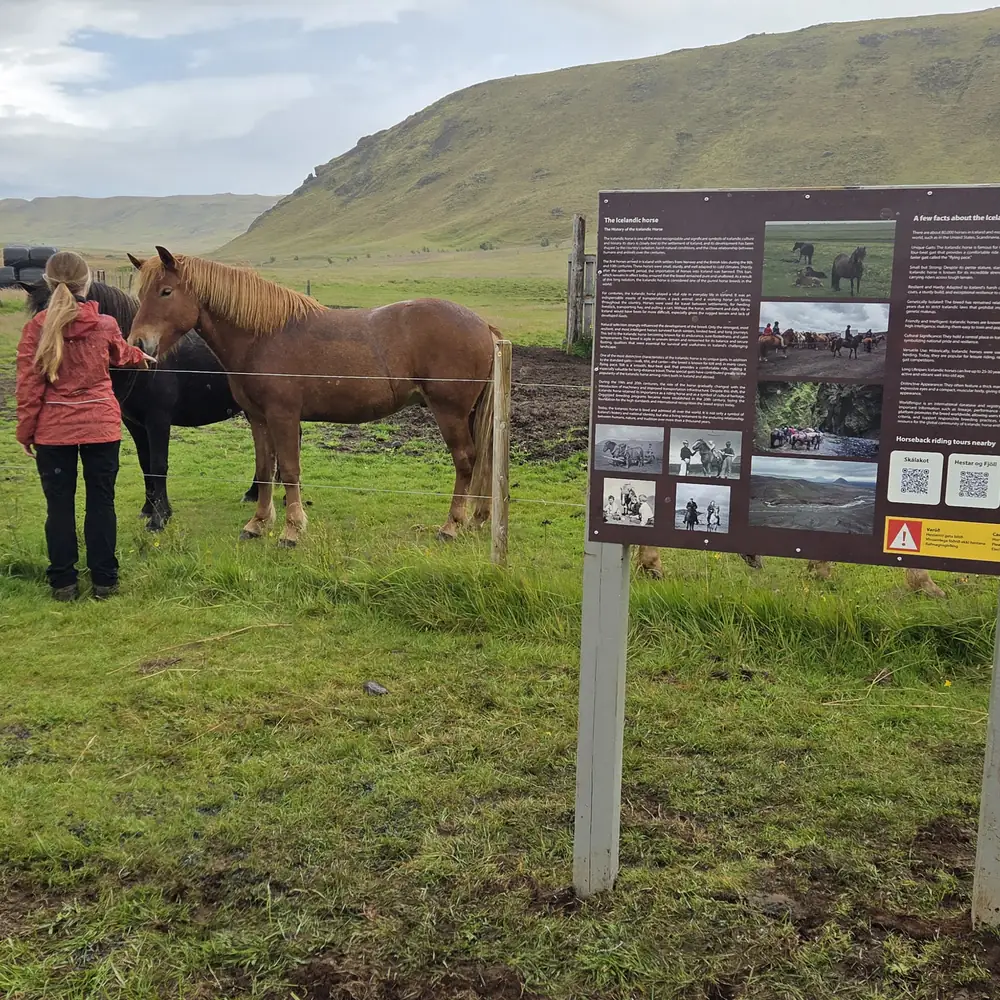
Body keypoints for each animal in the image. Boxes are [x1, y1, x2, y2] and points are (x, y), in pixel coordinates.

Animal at [20, 278, 272, 531]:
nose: (41, 364)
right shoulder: (135, 424)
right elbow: (145, 464)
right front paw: (149, 509)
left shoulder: (157, 420)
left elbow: (159, 465)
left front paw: (159, 518)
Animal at [128, 247, 497, 547]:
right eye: (141, 293)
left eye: (165, 291)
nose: (138, 344)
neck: (263, 336)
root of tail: (484, 327)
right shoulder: (258, 417)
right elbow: (265, 468)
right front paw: (258, 524)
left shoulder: (283, 415)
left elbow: (290, 470)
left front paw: (291, 530)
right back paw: (478, 519)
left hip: (450, 412)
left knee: (465, 460)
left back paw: (451, 525)